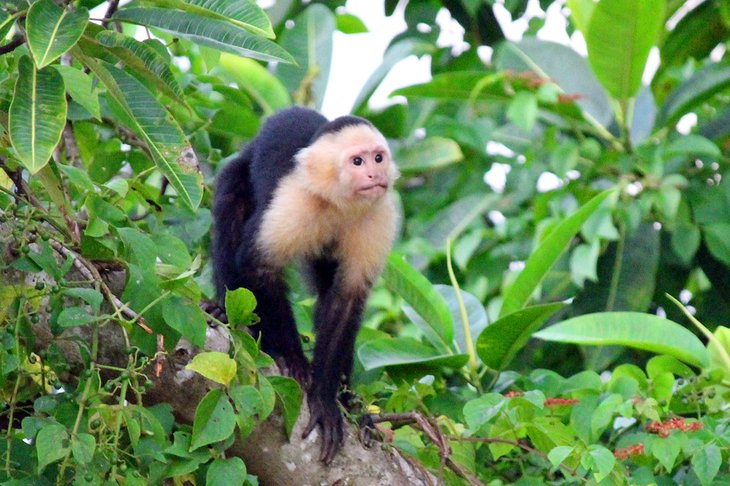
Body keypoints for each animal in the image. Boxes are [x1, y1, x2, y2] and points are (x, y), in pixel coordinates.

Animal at [212, 106, 398, 464]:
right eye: (358, 162)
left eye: (378, 158)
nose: (374, 175)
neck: (338, 202)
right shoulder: (296, 199)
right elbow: (258, 266)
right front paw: (293, 360)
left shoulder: (378, 215)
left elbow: (346, 300)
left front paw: (326, 398)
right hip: (240, 172)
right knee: (231, 206)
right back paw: (224, 312)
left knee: (328, 287)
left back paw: (350, 400)